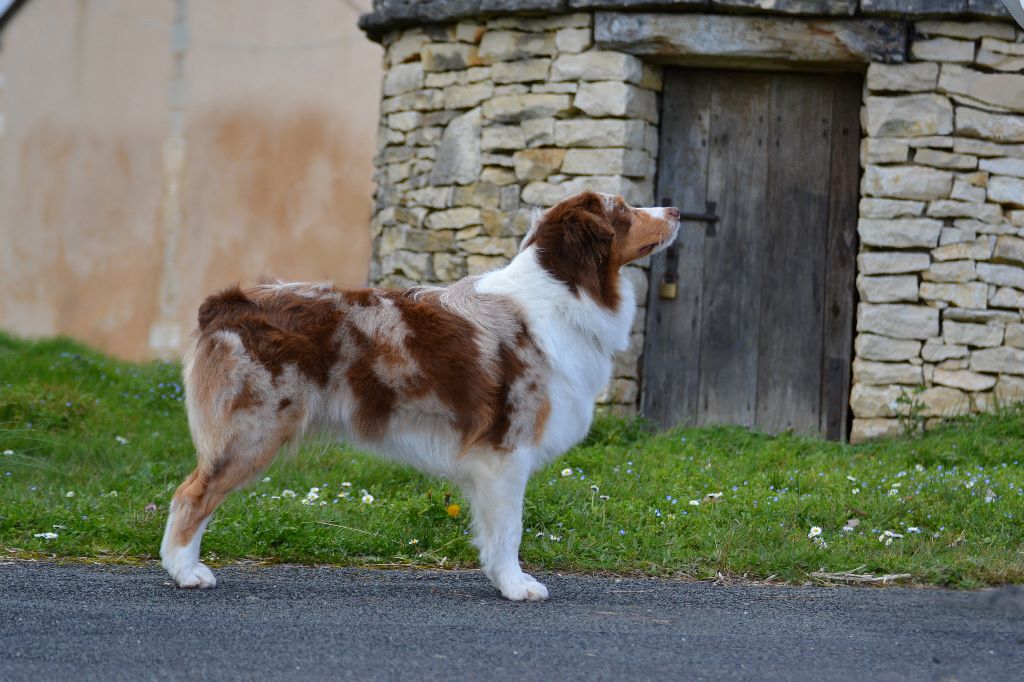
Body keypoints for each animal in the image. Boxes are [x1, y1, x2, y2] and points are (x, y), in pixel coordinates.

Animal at [159, 188, 679, 598]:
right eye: (623, 209)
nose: (675, 210)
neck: (565, 289)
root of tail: (226, 305)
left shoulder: (488, 462)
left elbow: (492, 532)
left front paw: (498, 579)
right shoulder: (507, 448)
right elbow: (511, 528)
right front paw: (517, 586)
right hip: (254, 429)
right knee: (192, 494)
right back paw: (185, 572)